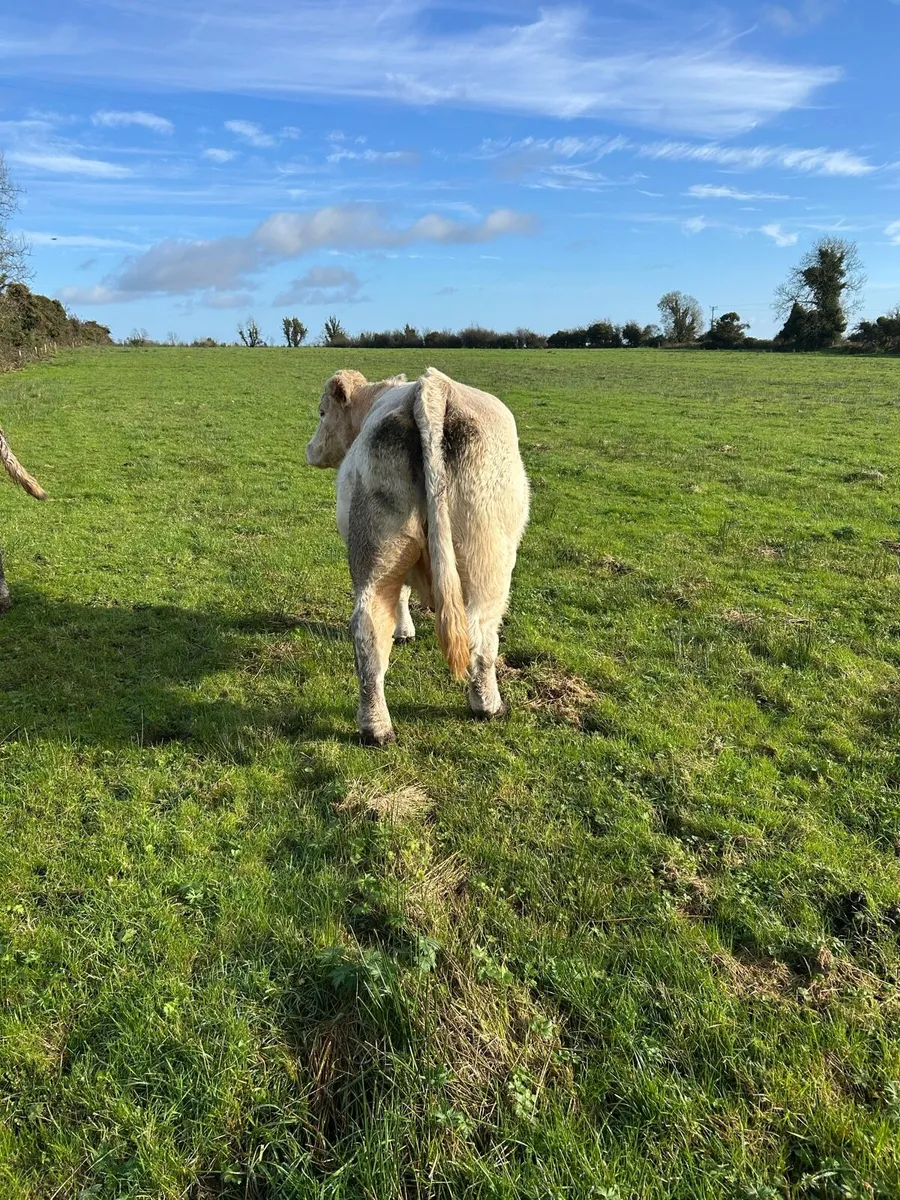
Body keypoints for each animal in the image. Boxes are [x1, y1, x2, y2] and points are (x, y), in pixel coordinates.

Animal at [306, 366, 529, 745]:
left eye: (322, 413)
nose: (310, 449)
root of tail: (432, 387)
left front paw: (403, 631)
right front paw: (407, 631)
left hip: (377, 550)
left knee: (369, 625)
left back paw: (376, 728)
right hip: (489, 561)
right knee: (481, 632)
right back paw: (489, 706)